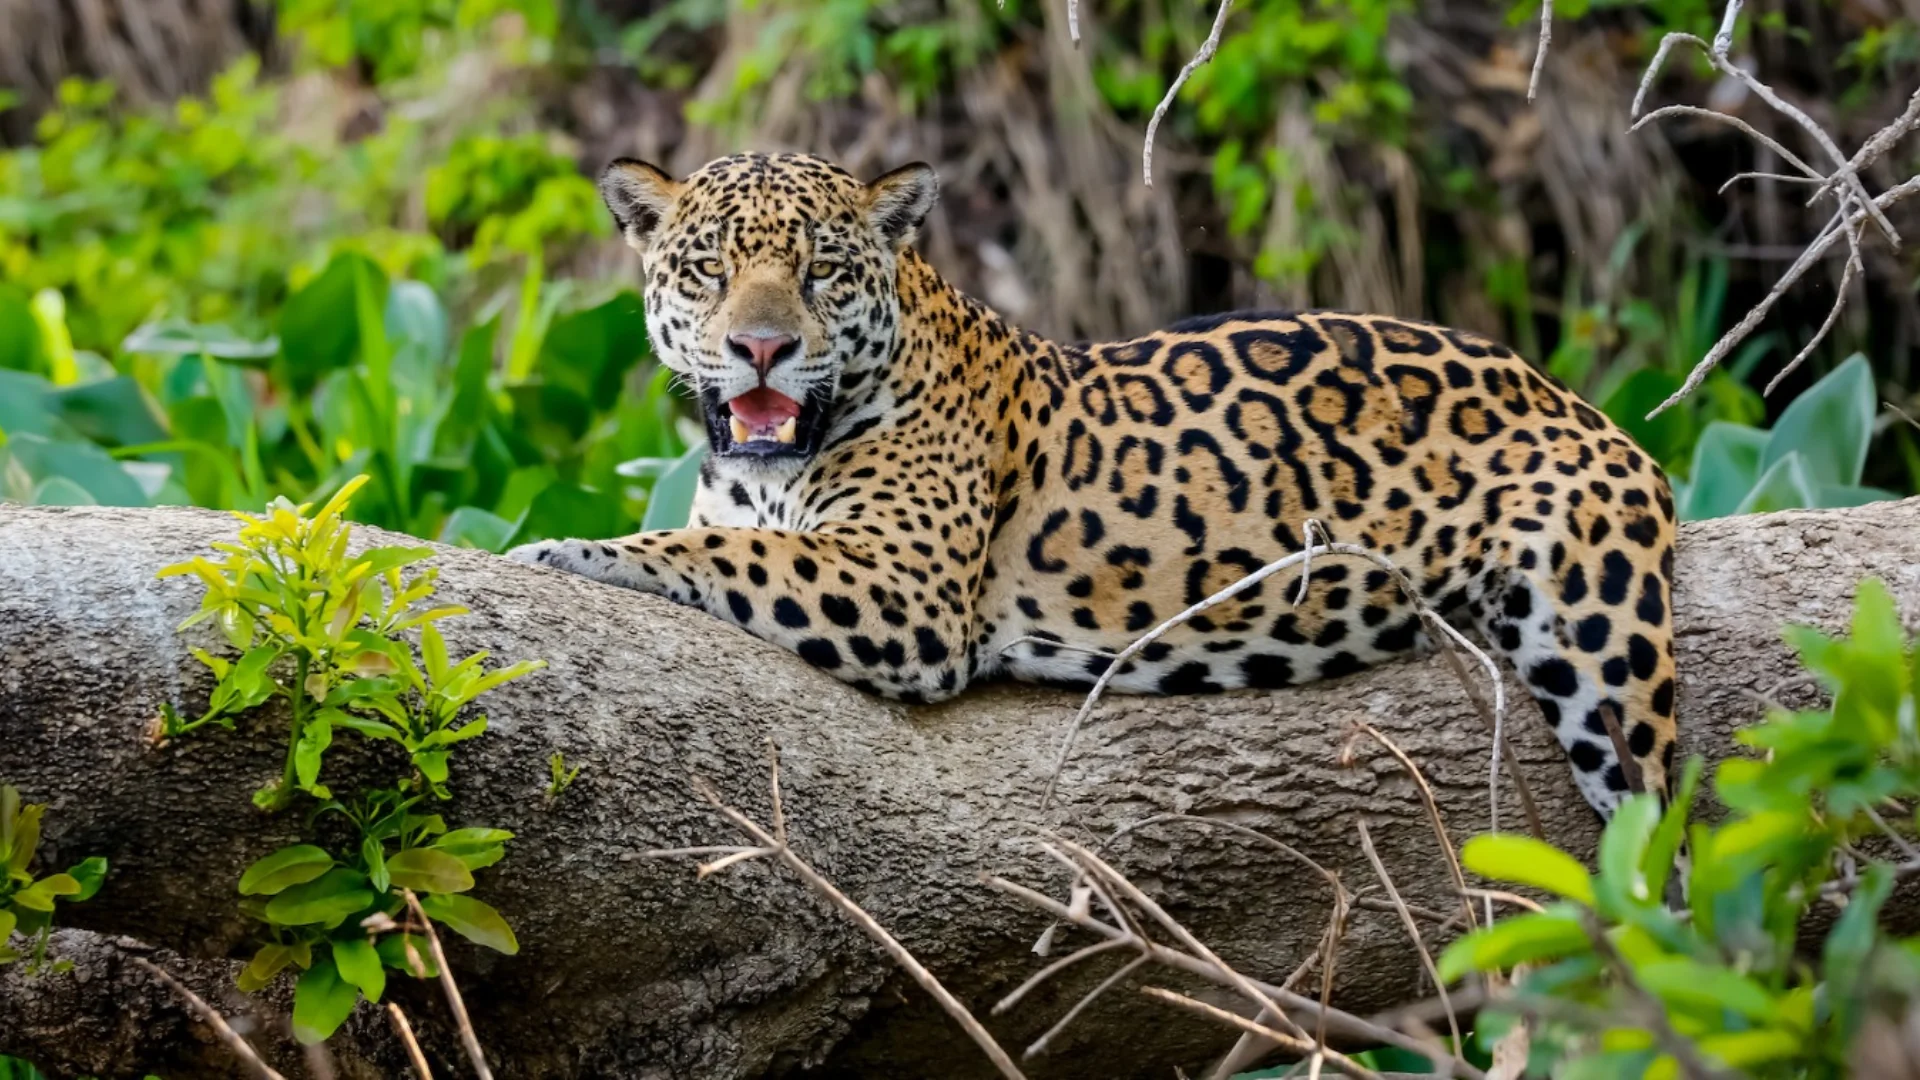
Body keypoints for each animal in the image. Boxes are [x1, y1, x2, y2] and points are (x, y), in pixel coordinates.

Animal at [506, 151, 1680, 821]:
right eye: (708, 269)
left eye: (822, 272)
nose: (760, 349)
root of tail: (1574, 396)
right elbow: (720, 536)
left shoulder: (906, 590)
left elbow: (716, 550)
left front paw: (564, 551)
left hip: (1602, 643)